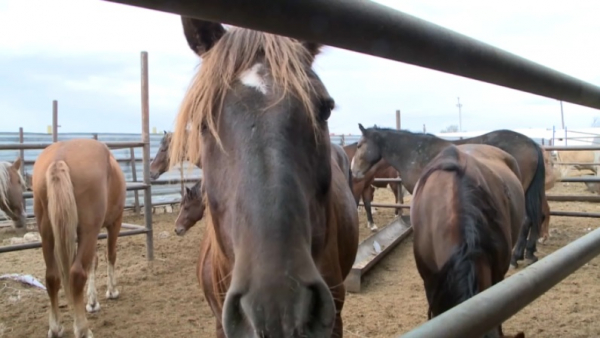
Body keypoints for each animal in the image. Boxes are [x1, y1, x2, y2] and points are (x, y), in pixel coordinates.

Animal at [32, 138, 125, 338]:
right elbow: (110, 255)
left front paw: (92, 302)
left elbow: (92, 261)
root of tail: (59, 159)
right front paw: (111, 291)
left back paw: (56, 327)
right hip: (89, 231)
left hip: (47, 232)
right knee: (76, 274)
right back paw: (82, 329)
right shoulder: (114, 223)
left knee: (52, 276)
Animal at [352, 125, 548, 268]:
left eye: (359, 145)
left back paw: (516, 257)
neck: (415, 153)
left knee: (526, 220)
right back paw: (529, 253)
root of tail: (532, 143)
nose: (354, 171)